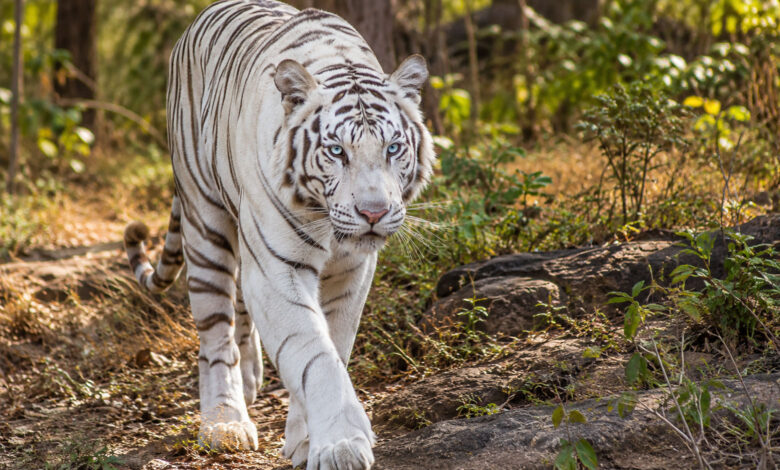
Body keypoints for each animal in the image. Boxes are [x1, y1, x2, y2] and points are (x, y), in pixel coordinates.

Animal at [122, 1, 434, 469]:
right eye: (337, 151)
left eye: (393, 148)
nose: (373, 213)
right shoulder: (276, 269)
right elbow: (312, 353)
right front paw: (341, 444)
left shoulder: (353, 271)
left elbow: (331, 346)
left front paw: (305, 439)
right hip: (205, 222)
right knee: (216, 334)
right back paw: (225, 422)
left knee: (240, 309)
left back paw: (250, 378)